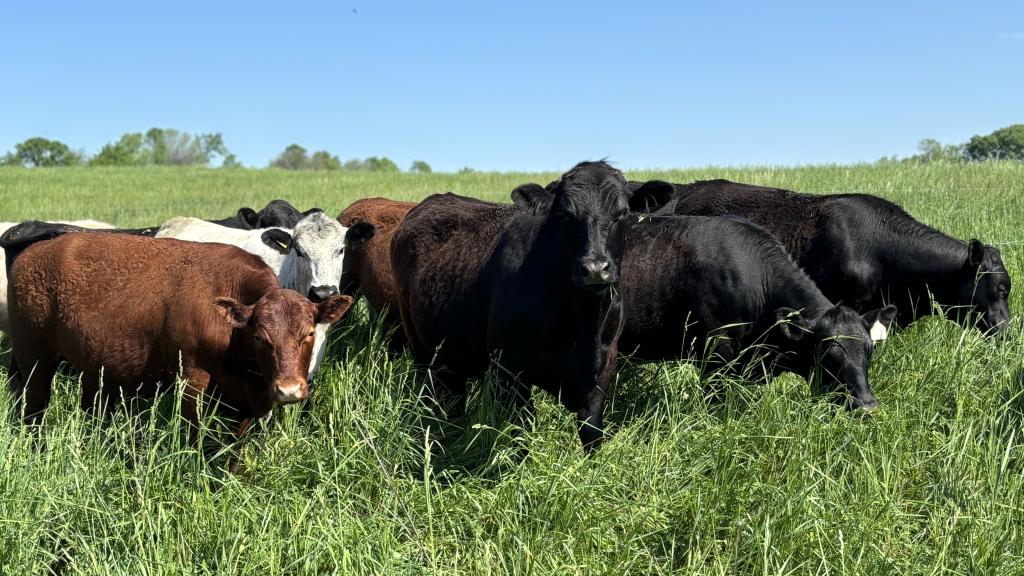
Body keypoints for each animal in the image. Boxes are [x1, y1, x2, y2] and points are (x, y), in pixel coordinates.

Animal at [6, 229, 354, 434]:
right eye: (260, 337)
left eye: (309, 333)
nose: (289, 390)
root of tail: (31, 253)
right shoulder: (192, 379)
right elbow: (195, 436)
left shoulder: (249, 395)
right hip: (34, 361)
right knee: (33, 407)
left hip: (95, 368)